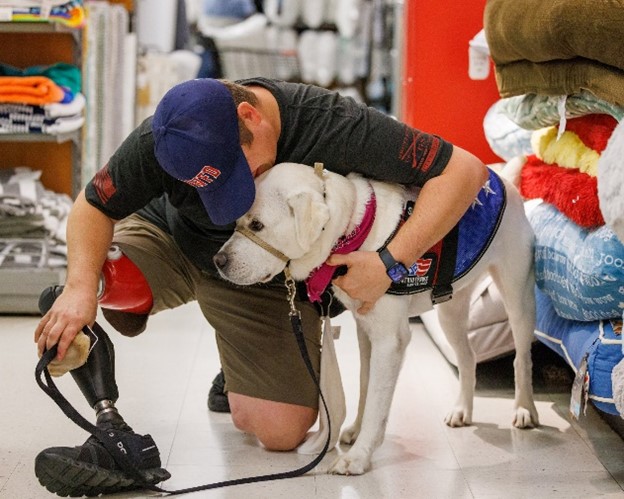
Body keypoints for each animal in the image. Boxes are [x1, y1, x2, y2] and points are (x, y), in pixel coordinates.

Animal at [213, 163, 536, 476]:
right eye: (237, 222)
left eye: (257, 225)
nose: (218, 261)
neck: (353, 232)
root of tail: (504, 180)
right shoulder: (365, 331)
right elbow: (366, 385)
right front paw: (356, 432)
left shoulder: (389, 341)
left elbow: (377, 400)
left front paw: (357, 457)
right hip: (450, 312)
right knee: (468, 357)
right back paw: (461, 410)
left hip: (518, 298)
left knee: (521, 358)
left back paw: (524, 410)